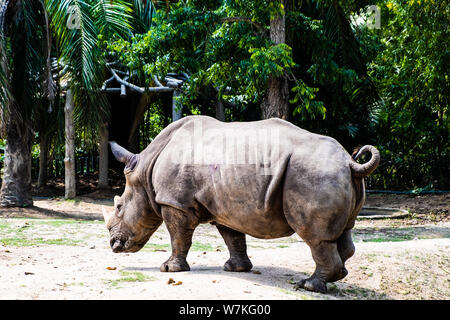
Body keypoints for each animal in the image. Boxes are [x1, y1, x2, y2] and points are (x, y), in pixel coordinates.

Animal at [103, 116, 380, 294]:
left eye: (118, 208)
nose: (114, 245)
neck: (146, 169)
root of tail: (350, 162)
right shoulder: (225, 206)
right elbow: (233, 237)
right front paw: (235, 268)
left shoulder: (176, 202)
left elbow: (178, 237)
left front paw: (169, 268)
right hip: (333, 174)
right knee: (343, 232)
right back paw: (333, 278)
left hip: (315, 174)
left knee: (316, 237)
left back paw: (309, 286)